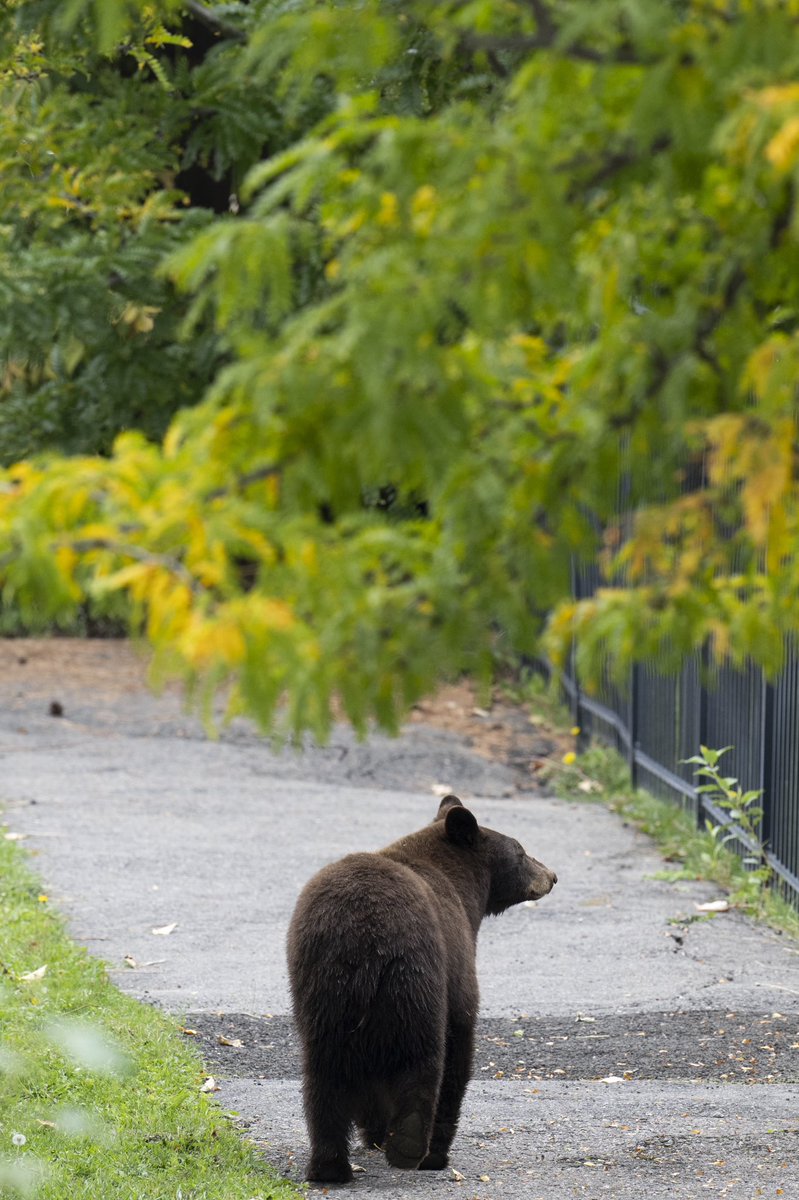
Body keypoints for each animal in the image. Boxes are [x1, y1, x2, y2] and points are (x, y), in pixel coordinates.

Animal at [286, 794, 557, 1183]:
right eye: (520, 851)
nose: (552, 876)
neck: (462, 887)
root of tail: (360, 935)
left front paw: (375, 1132)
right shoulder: (457, 958)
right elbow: (460, 1037)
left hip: (320, 990)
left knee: (324, 1070)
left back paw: (329, 1166)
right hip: (414, 979)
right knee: (422, 1059)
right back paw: (414, 1149)